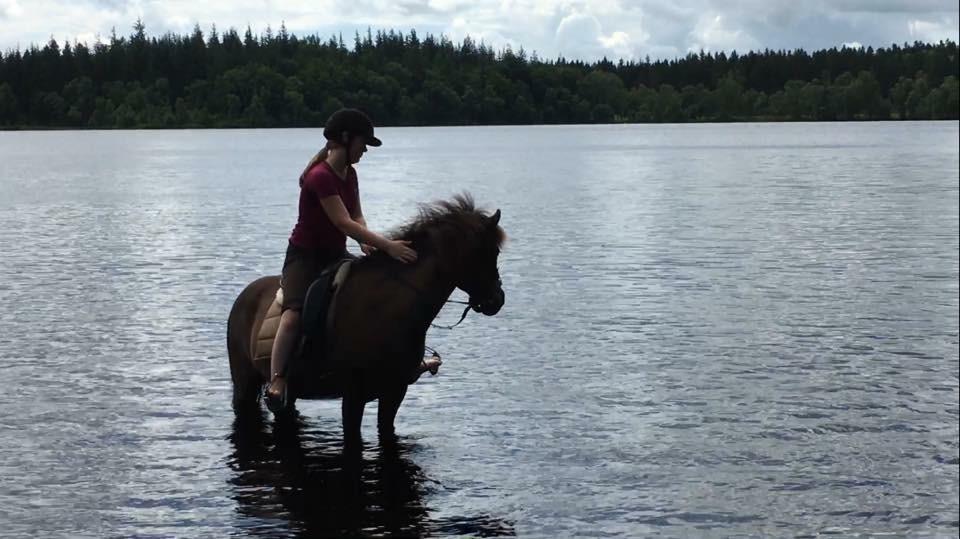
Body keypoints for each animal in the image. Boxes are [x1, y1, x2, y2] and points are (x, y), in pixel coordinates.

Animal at [228, 195, 506, 448]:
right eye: (487, 252)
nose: (497, 300)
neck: (387, 307)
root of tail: (243, 296)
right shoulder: (353, 396)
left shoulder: (395, 391)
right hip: (244, 382)